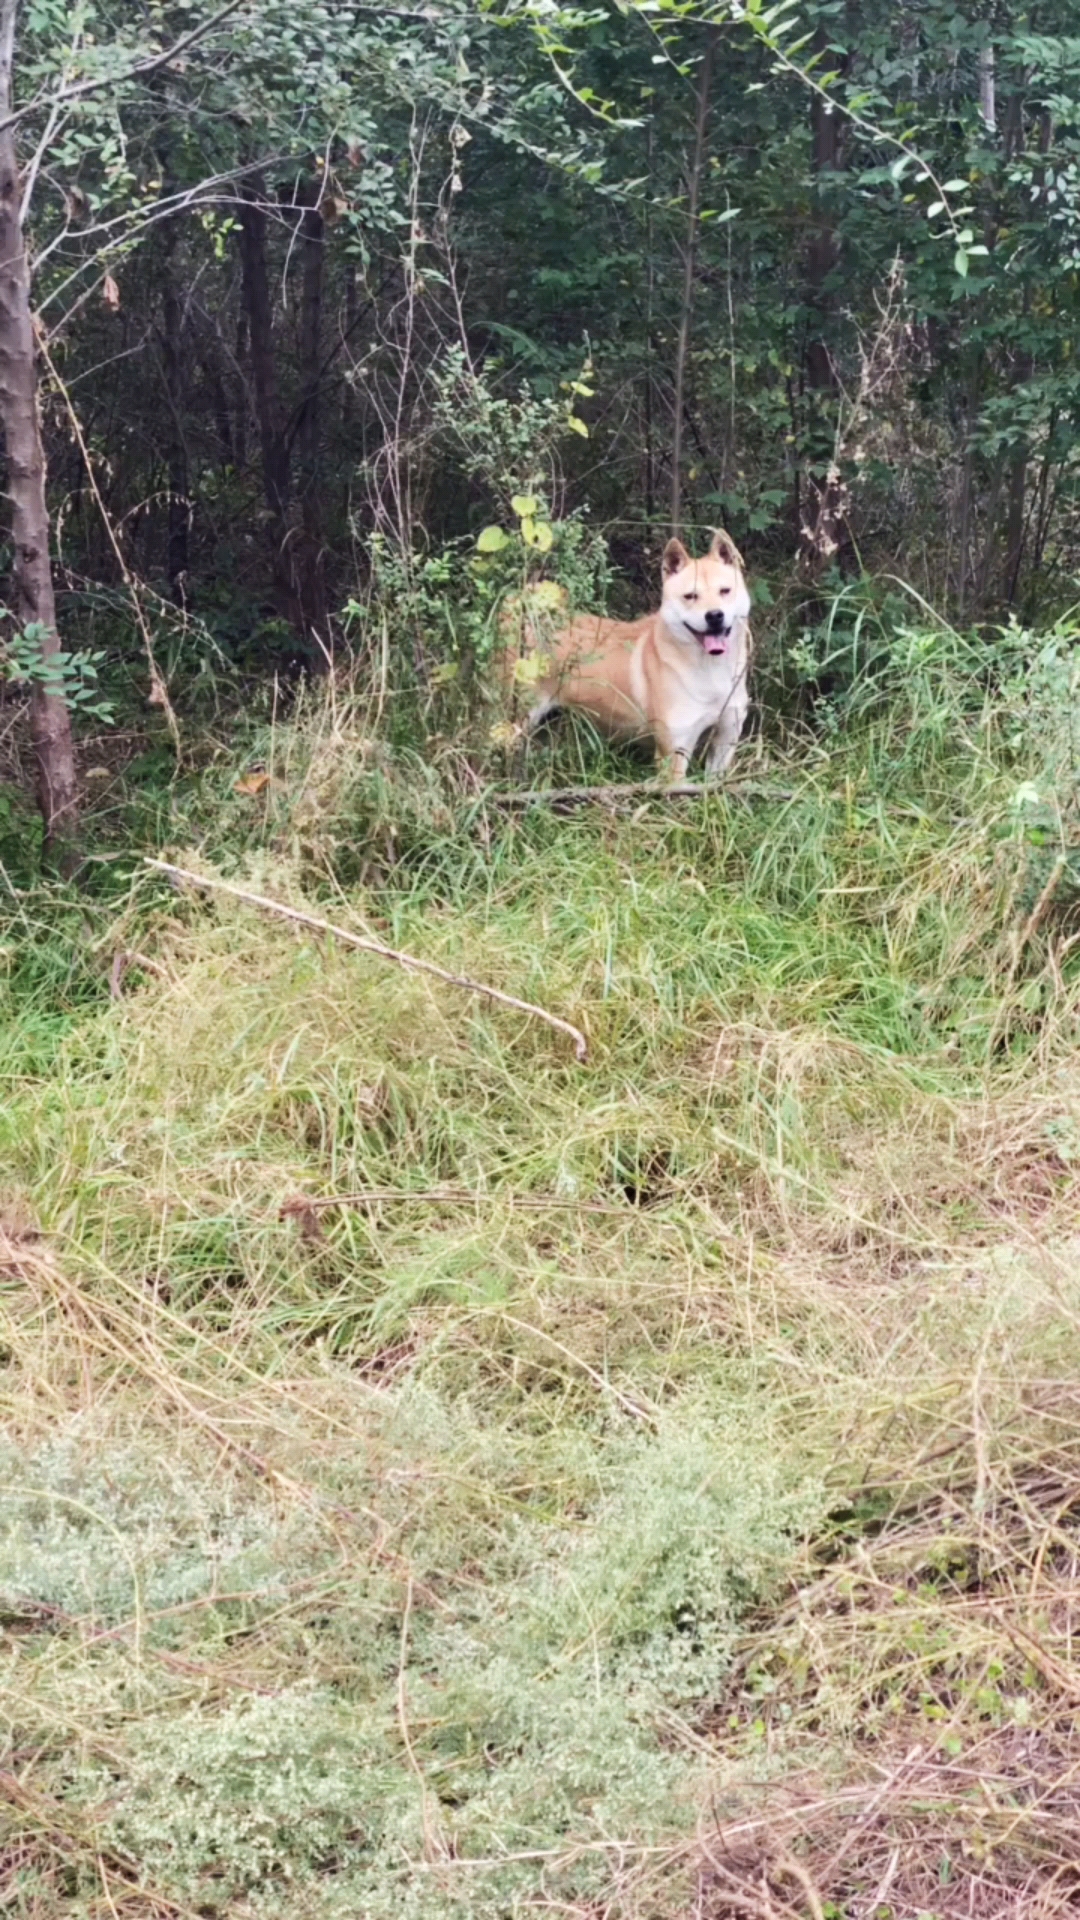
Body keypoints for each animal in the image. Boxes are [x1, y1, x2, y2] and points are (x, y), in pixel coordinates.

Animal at [511, 529, 749, 775]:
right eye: (690, 596)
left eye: (725, 591)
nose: (715, 615)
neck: (711, 672)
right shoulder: (673, 753)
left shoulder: (726, 740)